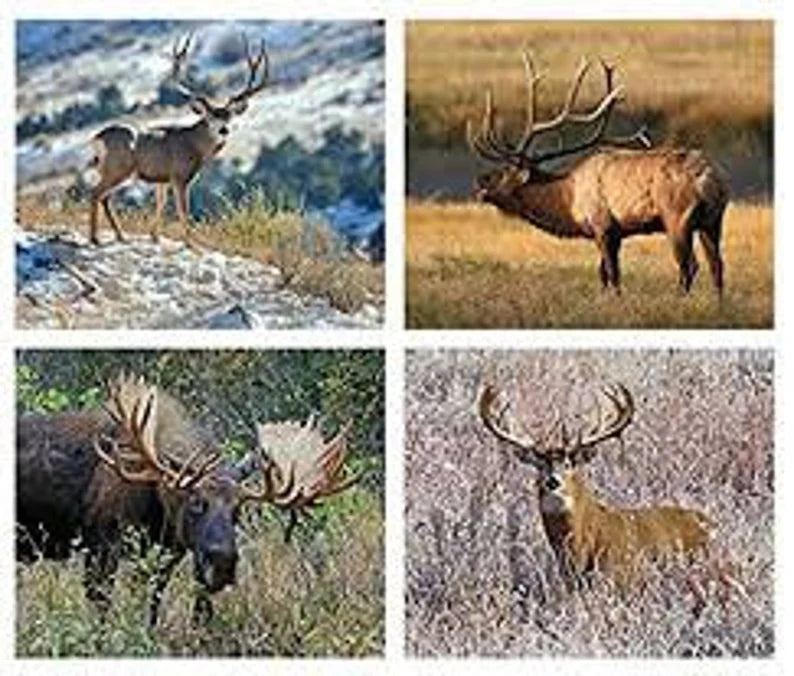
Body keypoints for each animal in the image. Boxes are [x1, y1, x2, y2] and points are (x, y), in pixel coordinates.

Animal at [16, 373, 360, 627]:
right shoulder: (101, 544)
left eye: (238, 511)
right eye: (195, 502)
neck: (155, 507)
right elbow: (101, 611)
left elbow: (152, 609)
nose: (223, 563)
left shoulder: (169, 552)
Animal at [88, 32, 270, 247]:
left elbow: (161, 203)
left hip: (107, 168)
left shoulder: (162, 178)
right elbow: (183, 210)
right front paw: (191, 243)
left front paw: (155, 236)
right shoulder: (180, 176)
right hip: (119, 167)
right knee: (96, 193)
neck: (195, 146)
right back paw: (95, 238)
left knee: (105, 197)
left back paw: (120, 235)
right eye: (209, 117)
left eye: (229, 117)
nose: (223, 130)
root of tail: (98, 138)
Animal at [467, 52, 729, 295]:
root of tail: (711, 180)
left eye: (505, 172)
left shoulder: (602, 226)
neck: (569, 199)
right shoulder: (613, 233)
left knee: (689, 265)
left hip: (677, 218)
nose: (479, 183)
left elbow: (613, 274)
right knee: (716, 265)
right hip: (713, 220)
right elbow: (602, 274)